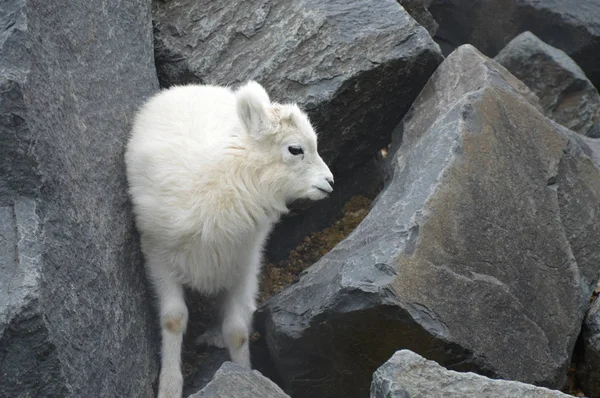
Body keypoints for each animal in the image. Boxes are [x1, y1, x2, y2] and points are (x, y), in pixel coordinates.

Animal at [124, 81, 336, 398]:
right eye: (295, 149)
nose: (330, 182)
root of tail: (193, 87)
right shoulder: (158, 257)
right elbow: (173, 319)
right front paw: (170, 386)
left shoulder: (244, 263)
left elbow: (237, 330)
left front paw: (243, 374)